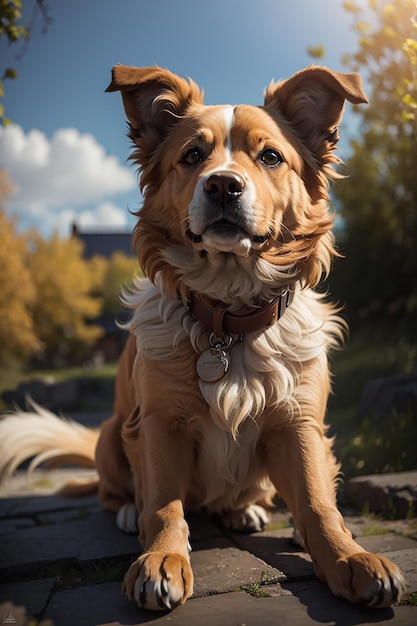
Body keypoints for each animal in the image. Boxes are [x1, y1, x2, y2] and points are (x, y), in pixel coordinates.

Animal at [0, 66, 404, 608]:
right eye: (192, 155)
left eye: (270, 156)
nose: (223, 185)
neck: (228, 318)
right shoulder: (159, 423)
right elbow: (163, 505)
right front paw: (161, 558)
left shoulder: (299, 424)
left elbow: (320, 504)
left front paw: (349, 558)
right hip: (112, 431)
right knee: (114, 493)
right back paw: (128, 513)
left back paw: (249, 511)